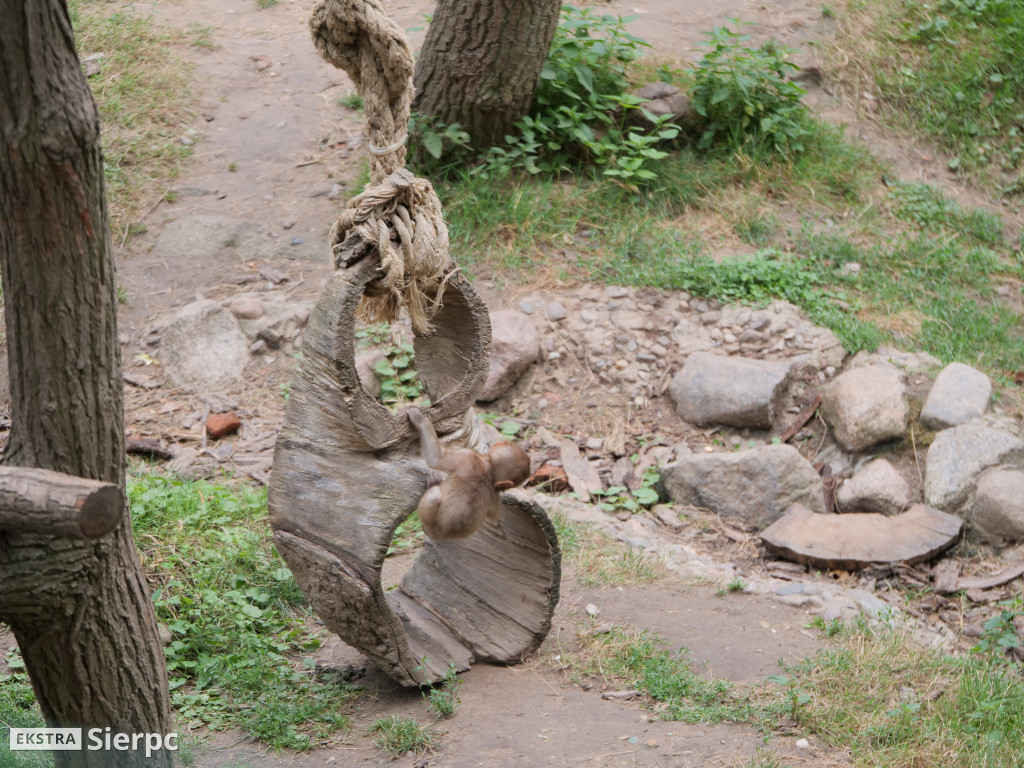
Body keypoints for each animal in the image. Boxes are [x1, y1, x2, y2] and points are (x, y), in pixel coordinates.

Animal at [403, 409, 532, 540]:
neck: (490, 471)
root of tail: (440, 534)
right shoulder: (495, 497)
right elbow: (494, 520)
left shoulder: (467, 455)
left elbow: (436, 458)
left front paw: (421, 421)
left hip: (427, 517)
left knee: (434, 495)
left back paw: (434, 483)